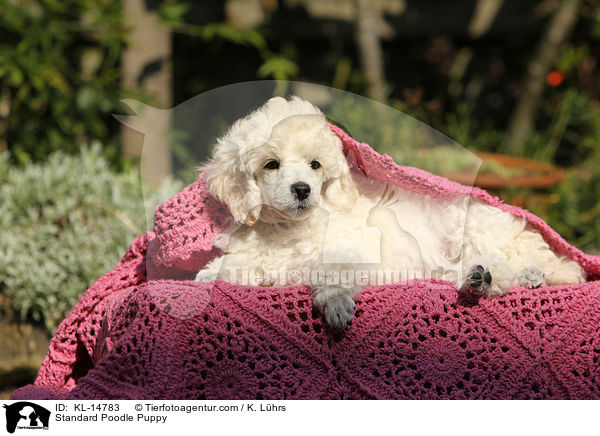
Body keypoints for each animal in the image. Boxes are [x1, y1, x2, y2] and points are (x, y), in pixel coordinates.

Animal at [195, 95, 584, 328]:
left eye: (315, 165)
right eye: (271, 164)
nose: (302, 189)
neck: (287, 229)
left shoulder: (353, 248)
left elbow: (331, 271)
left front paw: (336, 305)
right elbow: (237, 263)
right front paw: (208, 275)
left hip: (476, 228)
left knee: (515, 265)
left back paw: (500, 276)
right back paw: (491, 277)